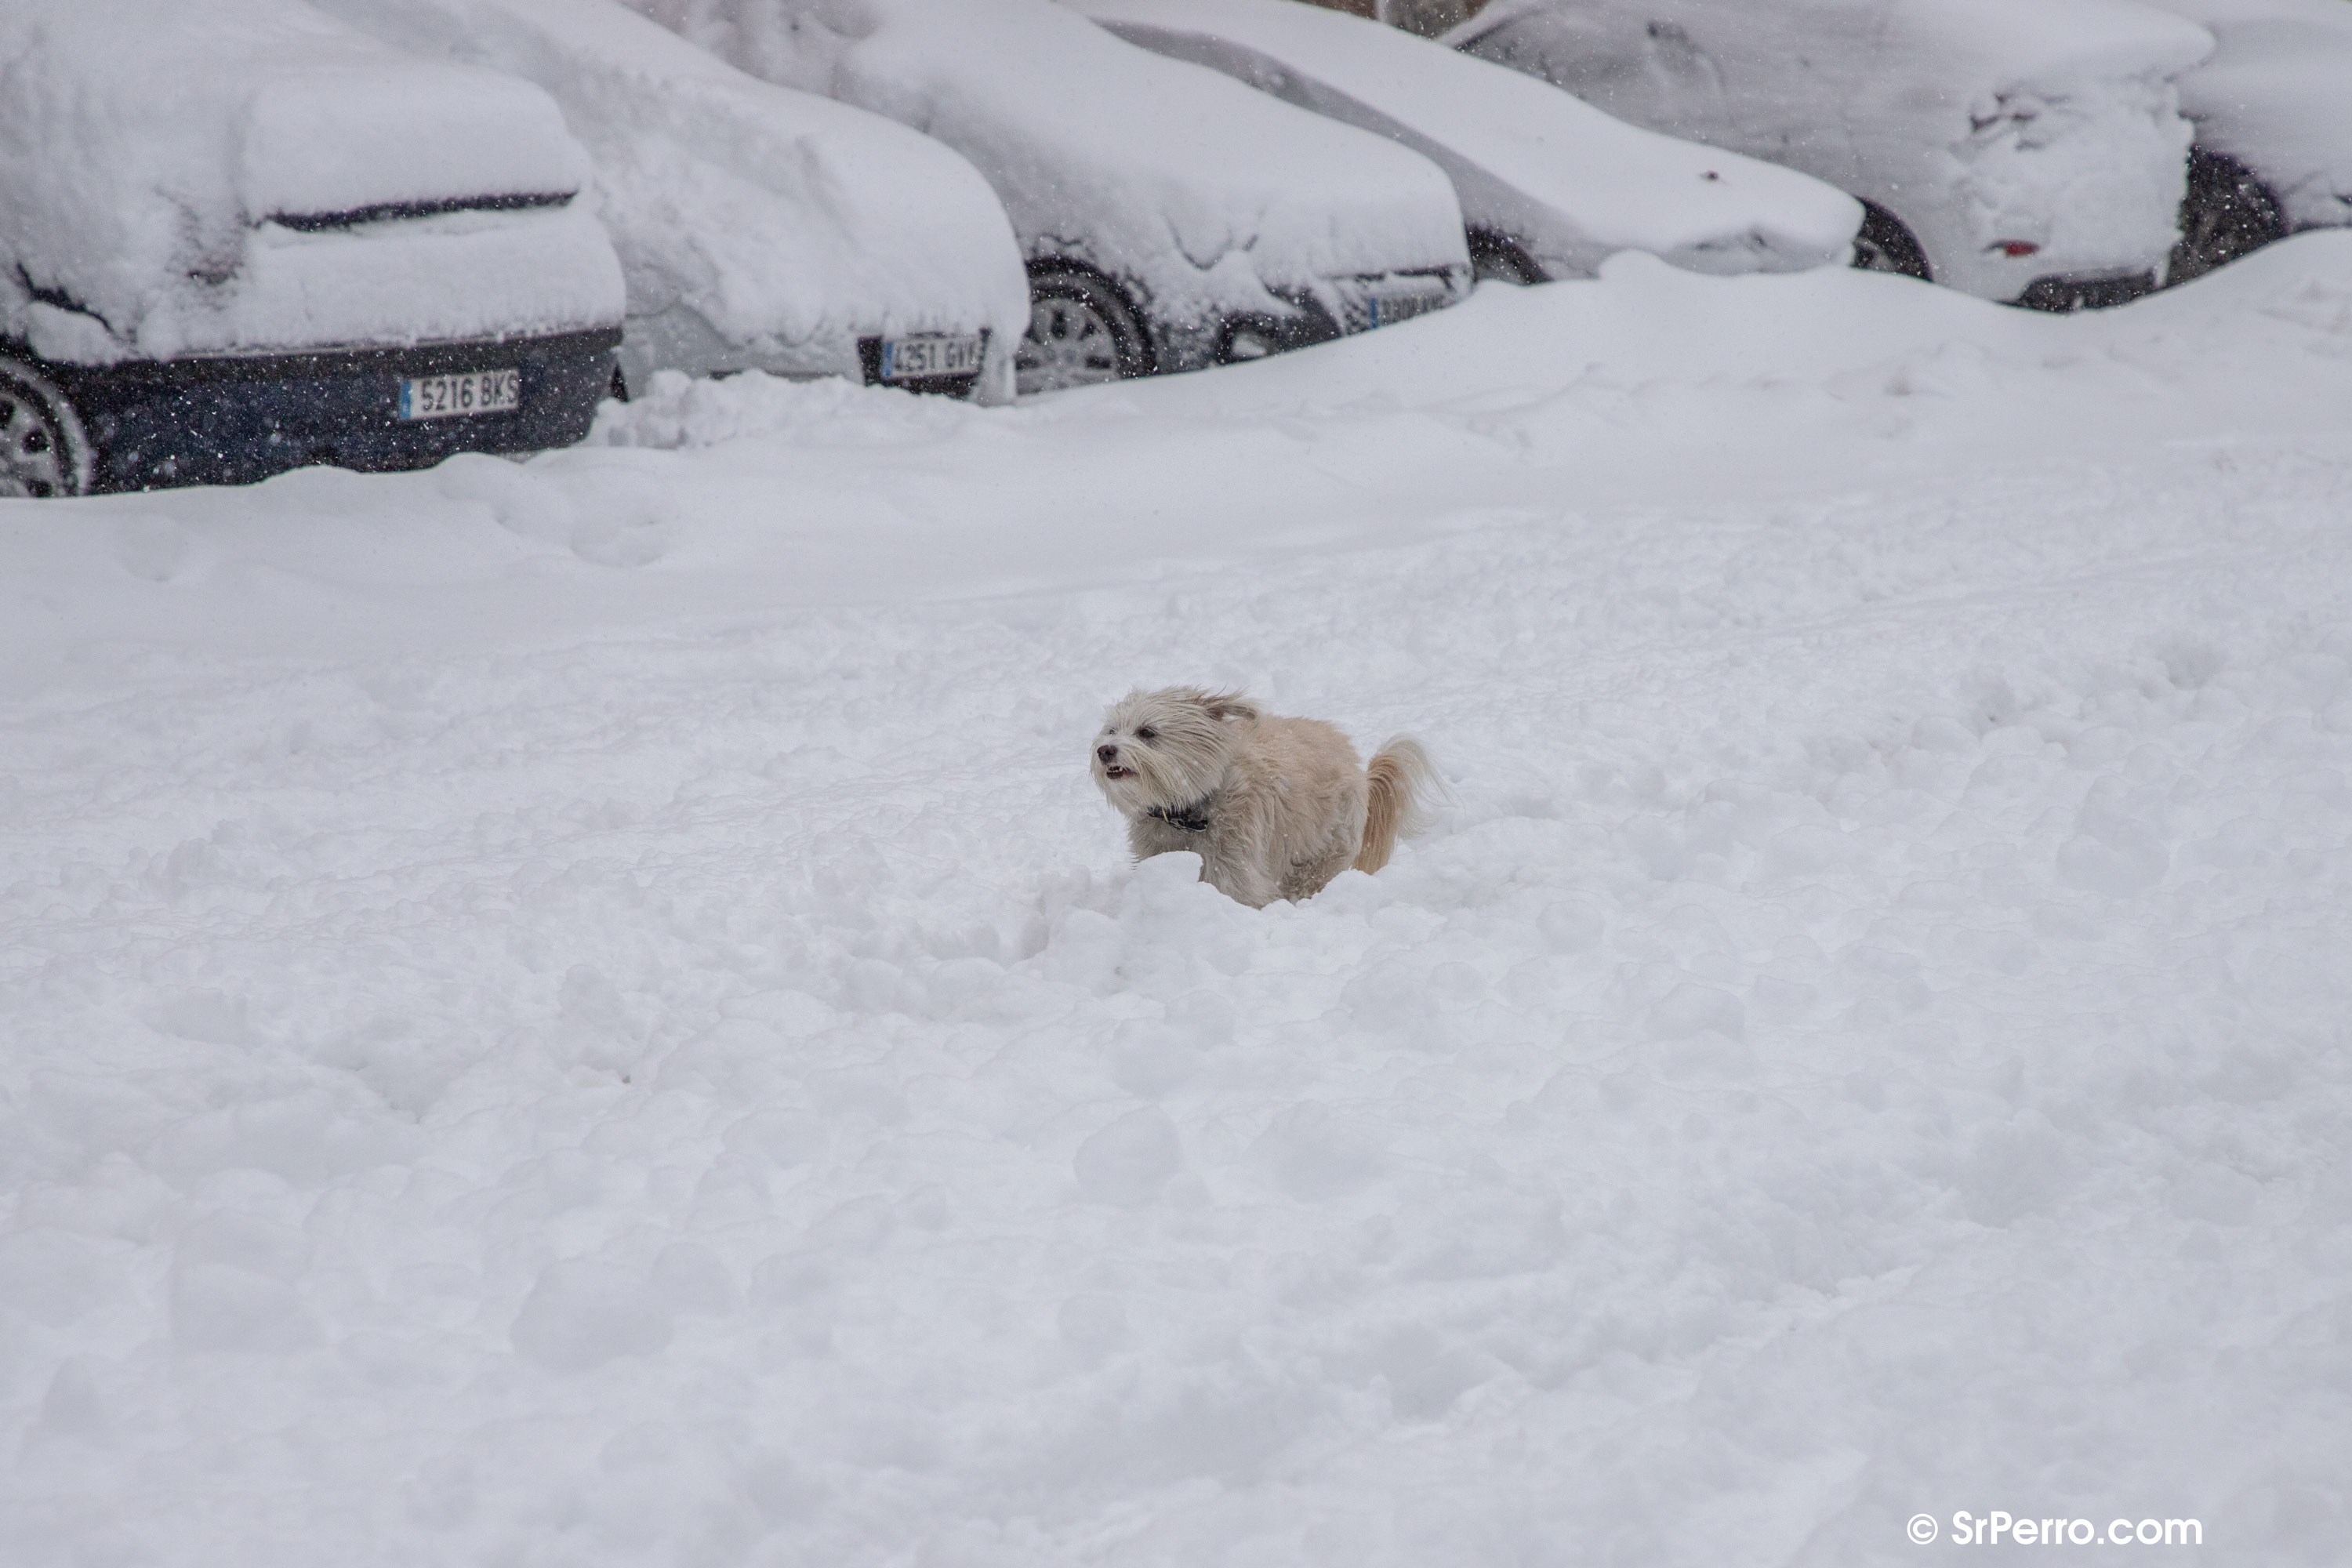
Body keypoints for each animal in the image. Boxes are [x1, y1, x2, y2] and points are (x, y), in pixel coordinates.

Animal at [1082, 686, 1430, 907]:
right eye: (1112, 730)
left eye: (1147, 732)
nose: (1105, 750)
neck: (1190, 811)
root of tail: (1359, 769)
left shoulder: (1233, 866)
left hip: (1322, 850)